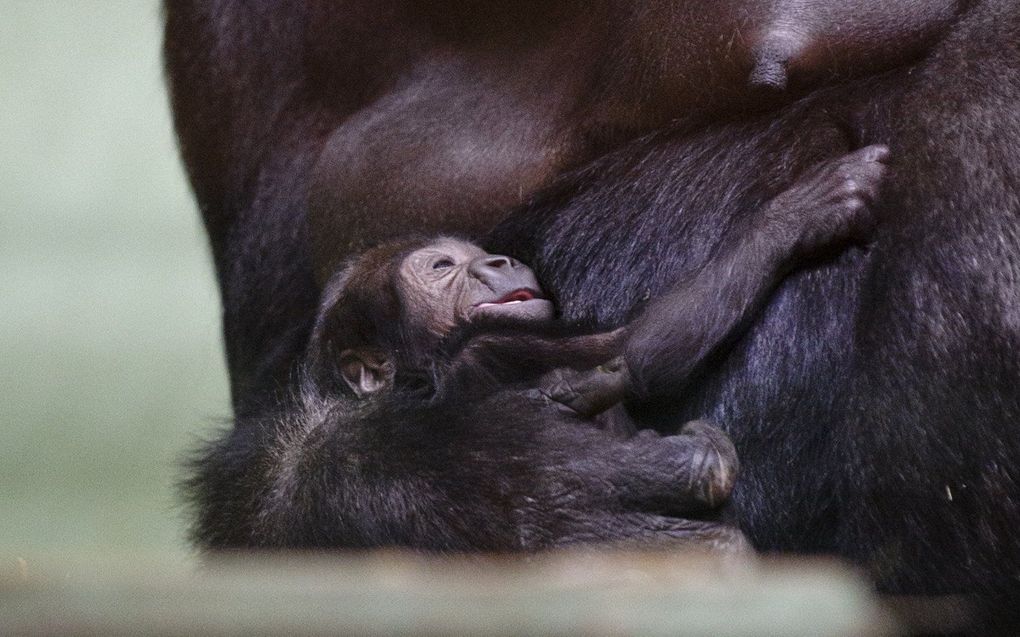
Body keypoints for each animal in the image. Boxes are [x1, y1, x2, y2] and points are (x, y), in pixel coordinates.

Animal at [293, 143, 885, 550]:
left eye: (478, 253)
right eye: (442, 266)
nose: (499, 260)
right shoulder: (493, 346)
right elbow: (631, 351)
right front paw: (804, 212)